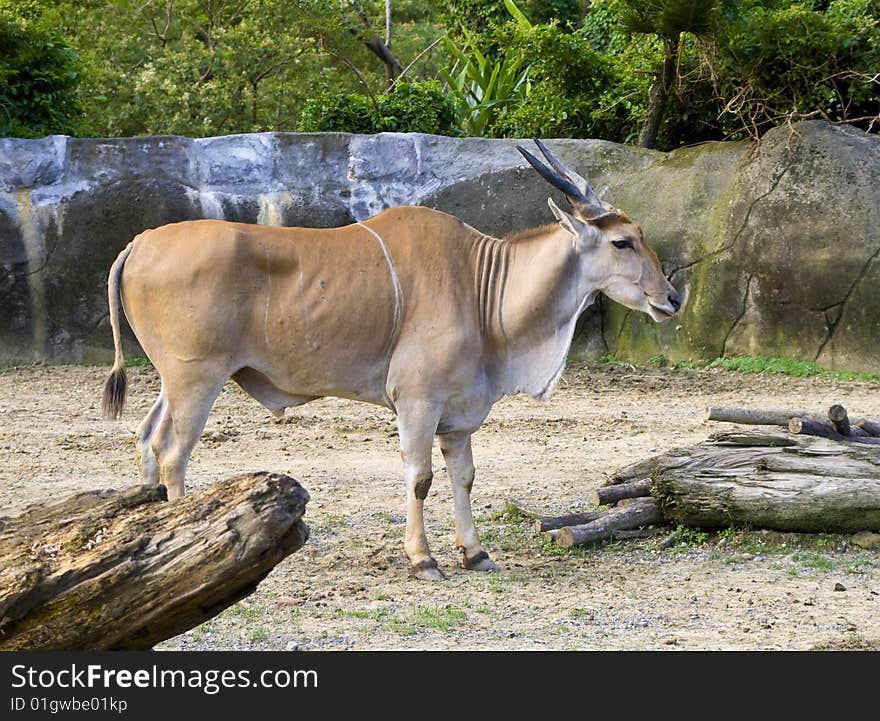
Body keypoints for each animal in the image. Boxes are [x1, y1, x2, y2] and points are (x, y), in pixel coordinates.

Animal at [105, 139, 680, 580]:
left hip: (173, 379)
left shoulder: (458, 417)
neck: (480, 284)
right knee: (174, 452)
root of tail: (138, 243)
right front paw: (423, 561)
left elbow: (464, 477)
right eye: (623, 242)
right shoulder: (417, 401)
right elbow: (420, 476)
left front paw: (475, 554)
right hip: (196, 377)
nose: (672, 299)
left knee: (147, 436)